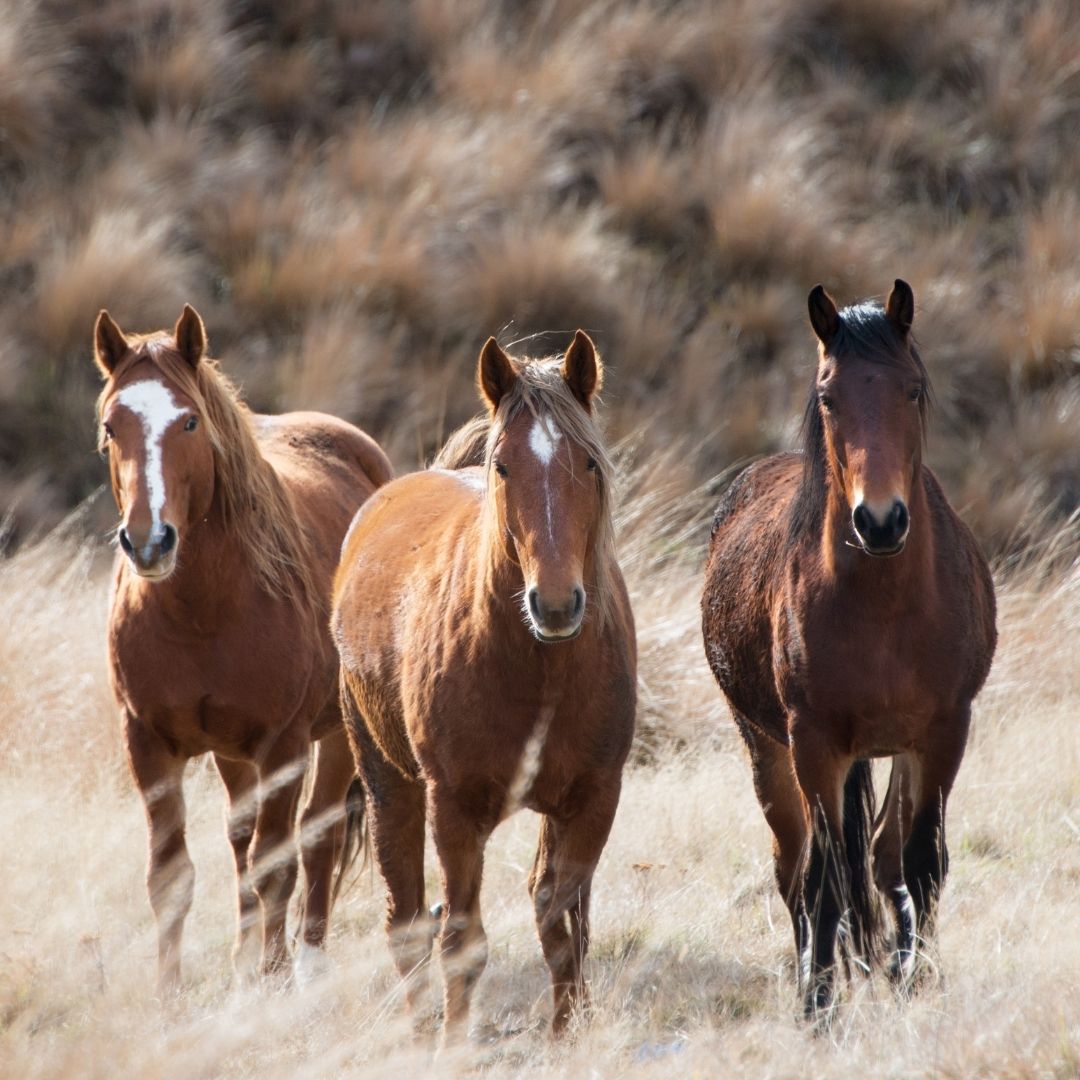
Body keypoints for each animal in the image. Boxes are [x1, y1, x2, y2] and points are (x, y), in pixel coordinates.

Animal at [94, 305, 393, 993]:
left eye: (189, 421)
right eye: (111, 425)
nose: (147, 541)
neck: (203, 612)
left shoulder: (283, 744)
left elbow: (277, 862)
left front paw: (273, 979)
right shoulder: (147, 742)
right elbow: (171, 874)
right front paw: (171, 994)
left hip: (336, 735)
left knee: (316, 837)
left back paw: (307, 965)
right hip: (231, 754)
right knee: (241, 838)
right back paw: (244, 956)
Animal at [332, 331, 636, 1041]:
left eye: (588, 463)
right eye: (503, 467)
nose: (555, 604)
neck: (540, 668)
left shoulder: (594, 798)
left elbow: (563, 922)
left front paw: (567, 1034)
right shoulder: (454, 808)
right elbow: (462, 940)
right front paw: (451, 1046)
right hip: (390, 784)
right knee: (407, 918)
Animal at [701, 280, 996, 1021]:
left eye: (912, 389)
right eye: (829, 396)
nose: (881, 520)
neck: (884, 608)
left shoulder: (943, 732)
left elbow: (921, 862)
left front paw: (915, 978)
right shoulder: (815, 744)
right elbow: (827, 876)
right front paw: (818, 1005)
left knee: (884, 854)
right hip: (767, 749)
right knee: (797, 868)